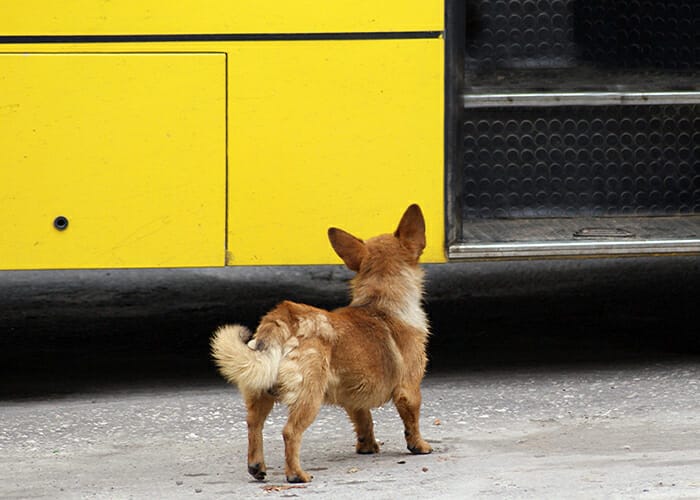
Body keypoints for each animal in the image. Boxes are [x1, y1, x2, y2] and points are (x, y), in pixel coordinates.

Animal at [212, 205, 432, 482]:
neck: (379, 304)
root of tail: (284, 317)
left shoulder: (354, 398)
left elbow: (364, 420)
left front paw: (367, 446)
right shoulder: (409, 389)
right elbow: (412, 421)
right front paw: (420, 445)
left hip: (259, 393)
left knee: (254, 425)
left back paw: (257, 466)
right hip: (309, 397)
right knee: (290, 432)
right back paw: (296, 474)